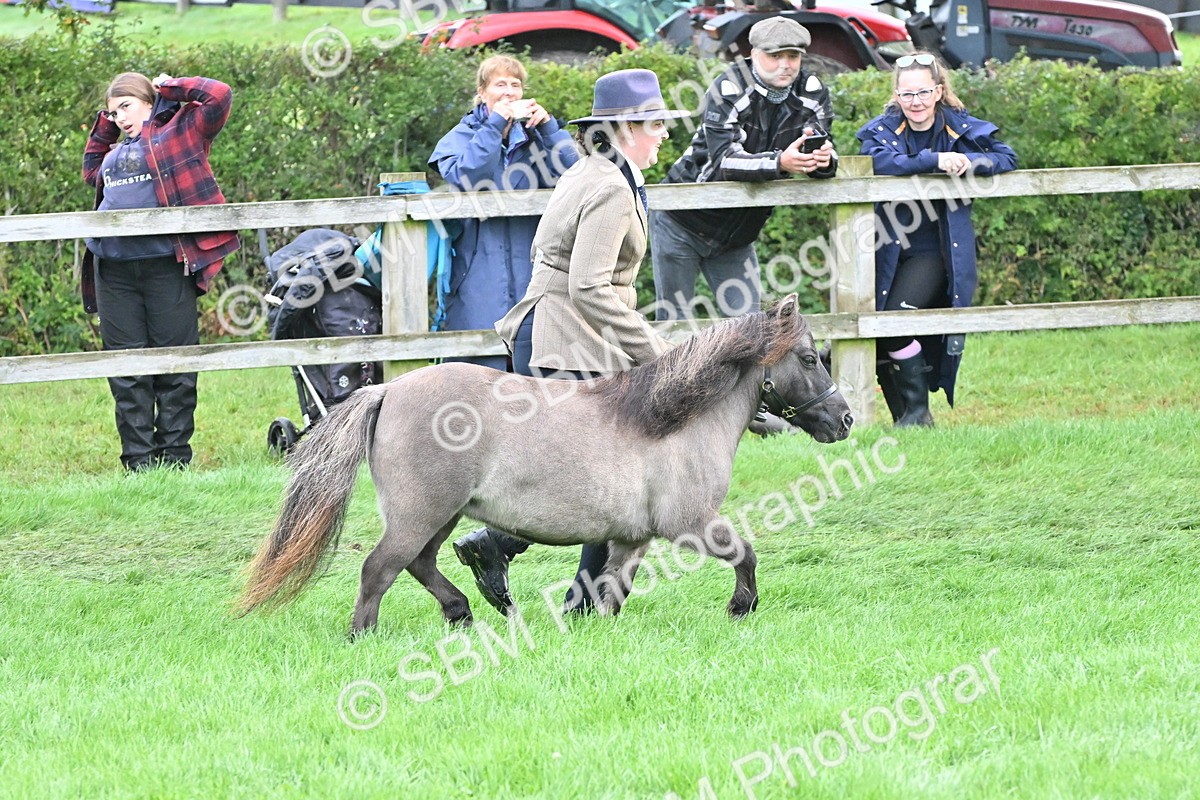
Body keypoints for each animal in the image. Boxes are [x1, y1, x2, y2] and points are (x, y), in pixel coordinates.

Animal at [239, 293, 853, 636]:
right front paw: (741, 607)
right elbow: (745, 554)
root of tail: (388, 390)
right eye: (808, 358)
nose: (844, 419)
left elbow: (610, 589)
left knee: (420, 563)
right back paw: (363, 636)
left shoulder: (633, 538)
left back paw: (464, 611)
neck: (672, 420)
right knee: (379, 569)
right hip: (422, 512)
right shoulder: (692, 523)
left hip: (441, 515)